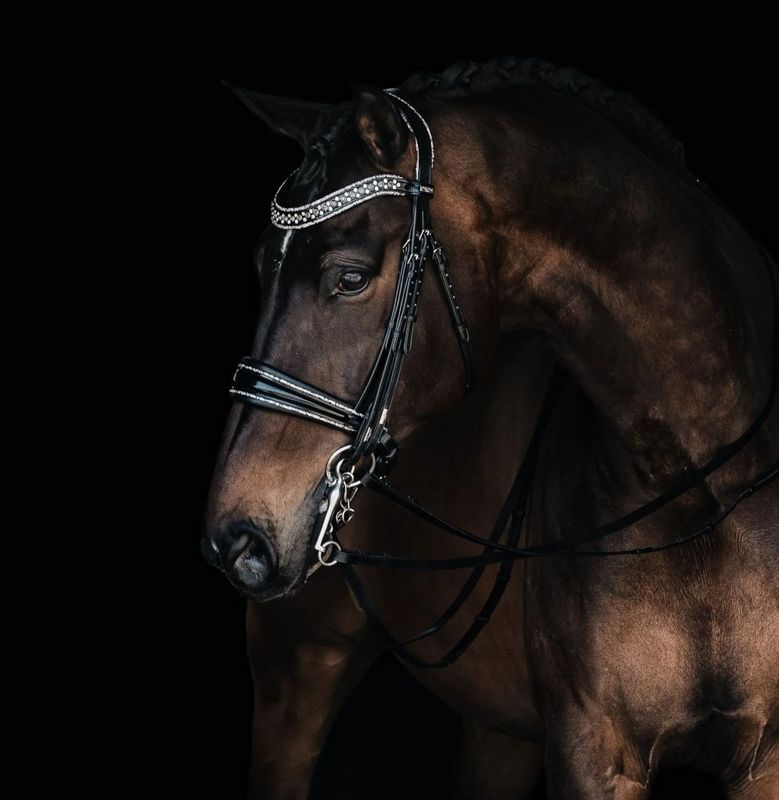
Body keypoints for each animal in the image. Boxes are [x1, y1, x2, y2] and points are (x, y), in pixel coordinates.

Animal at [203, 57, 779, 798]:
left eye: (350, 276)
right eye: (259, 264)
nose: (235, 538)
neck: (705, 488)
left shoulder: (762, 757)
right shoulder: (593, 752)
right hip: (295, 672)